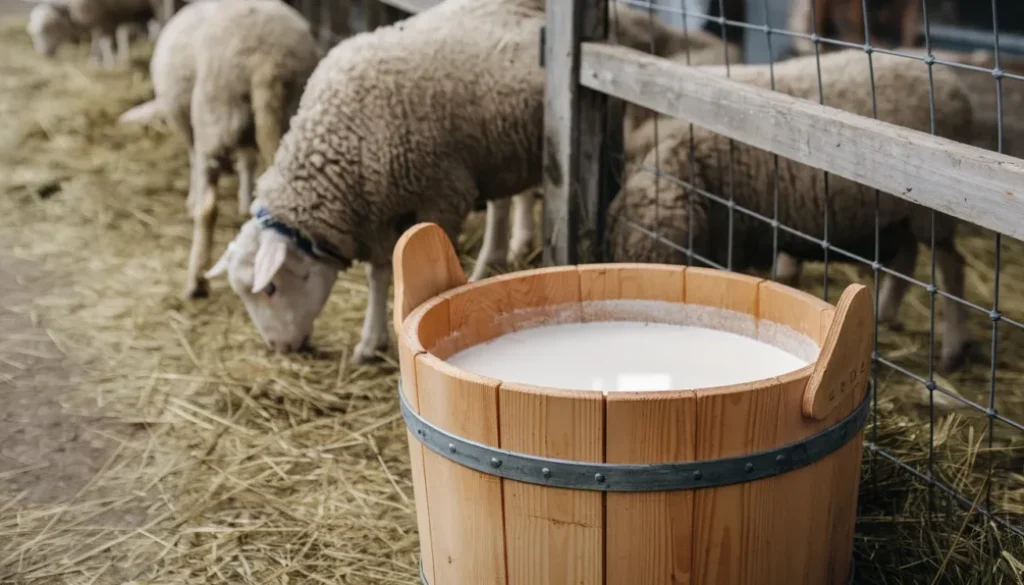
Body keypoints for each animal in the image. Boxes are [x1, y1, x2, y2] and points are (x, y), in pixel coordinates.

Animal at [606, 48, 974, 372]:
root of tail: (950, 82)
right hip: (898, 213)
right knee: (908, 256)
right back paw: (884, 313)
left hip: (932, 212)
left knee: (951, 267)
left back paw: (952, 351)